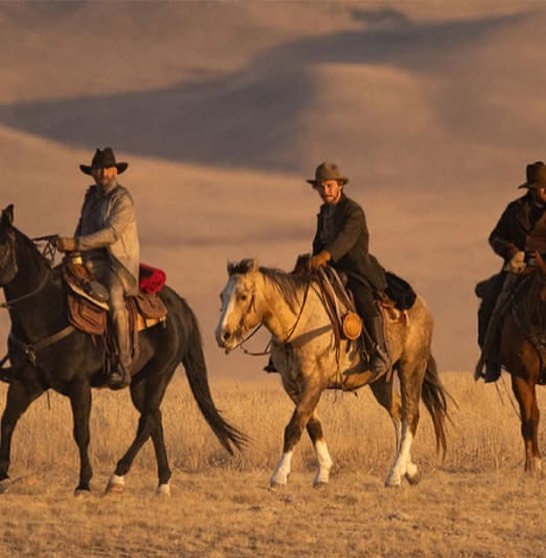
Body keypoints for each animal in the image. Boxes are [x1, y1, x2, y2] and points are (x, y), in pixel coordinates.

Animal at [0, 206, 244, 494]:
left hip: (158, 375)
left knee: (148, 420)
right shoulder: (25, 383)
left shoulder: (79, 385)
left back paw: (117, 477)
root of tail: (180, 307)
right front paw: (3, 475)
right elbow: (7, 422)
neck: (45, 312)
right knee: (154, 418)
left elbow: (81, 432)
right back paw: (162, 481)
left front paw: (84, 483)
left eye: (2, 244)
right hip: (140, 382)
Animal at [212, 260, 446, 488]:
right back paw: (409, 470)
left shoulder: (314, 383)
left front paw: (279, 475)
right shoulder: (293, 386)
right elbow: (312, 425)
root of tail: (422, 305)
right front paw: (323, 472)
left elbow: (294, 426)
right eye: (222, 295)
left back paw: (395, 475)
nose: (222, 335)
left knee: (410, 415)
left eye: (243, 296)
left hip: (411, 365)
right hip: (380, 380)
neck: (299, 323)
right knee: (396, 411)